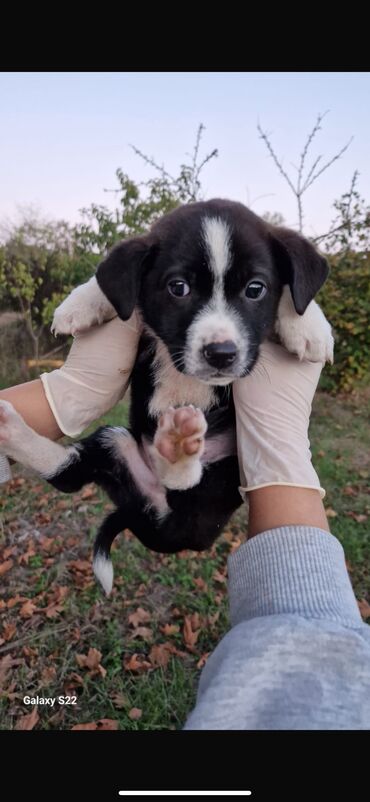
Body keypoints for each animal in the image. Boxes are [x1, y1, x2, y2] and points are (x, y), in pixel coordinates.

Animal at [0, 197, 336, 592]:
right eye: (179, 287)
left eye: (256, 289)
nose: (221, 354)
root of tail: (152, 518)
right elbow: (111, 276)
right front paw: (79, 304)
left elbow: (294, 292)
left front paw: (308, 328)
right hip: (117, 442)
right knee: (69, 473)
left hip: (226, 471)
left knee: (181, 480)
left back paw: (176, 444)